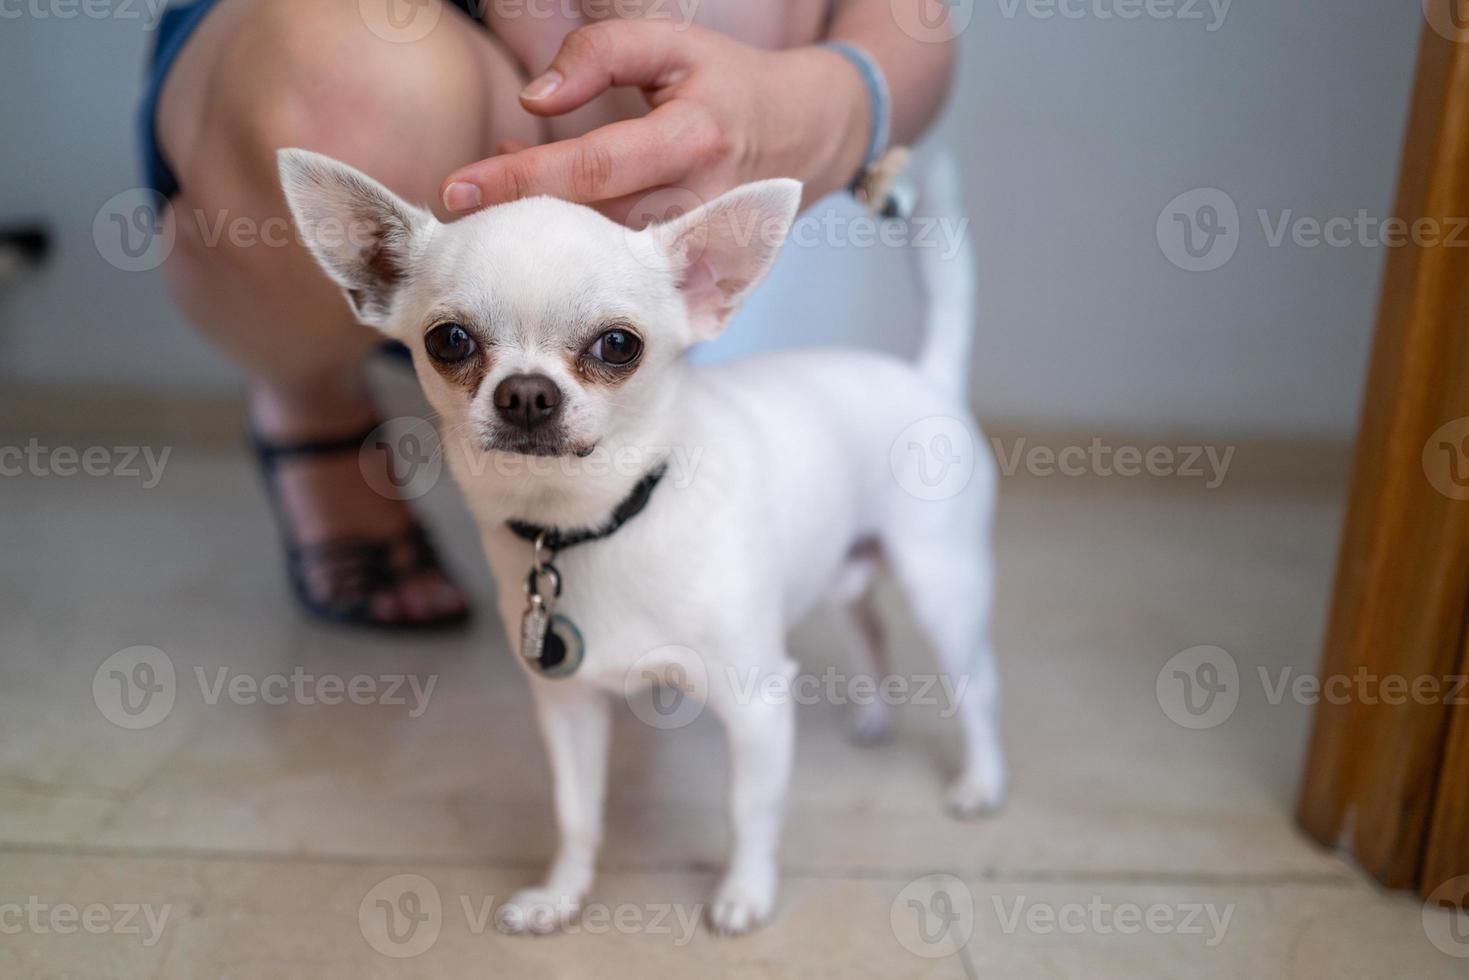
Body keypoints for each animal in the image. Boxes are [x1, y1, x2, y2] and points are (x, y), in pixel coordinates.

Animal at [279, 145, 1004, 934]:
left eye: (618, 345)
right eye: (449, 340)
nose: (526, 392)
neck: (594, 524)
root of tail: (927, 378)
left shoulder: (757, 704)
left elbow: (748, 810)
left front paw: (745, 893)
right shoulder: (569, 705)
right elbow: (576, 814)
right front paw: (561, 895)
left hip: (941, 586)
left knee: (976, 681)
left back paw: (980, 782)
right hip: (847, 567)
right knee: (871, 629)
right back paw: (875, 718)